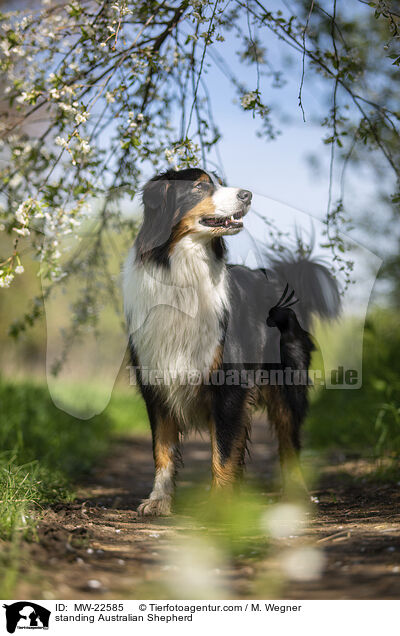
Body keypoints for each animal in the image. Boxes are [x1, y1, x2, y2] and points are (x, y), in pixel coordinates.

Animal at [122, 166, 340, 516]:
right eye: (199, 187)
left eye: (220, 182)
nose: (247, 194)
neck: (184, 271)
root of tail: (277, 278)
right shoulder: (156, 381)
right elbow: (163, 450)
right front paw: (159, 500)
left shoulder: (229, 384)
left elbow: (223, 452)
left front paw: (220, 508)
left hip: (286, 384)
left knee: (289, 441)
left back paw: (296, 495)